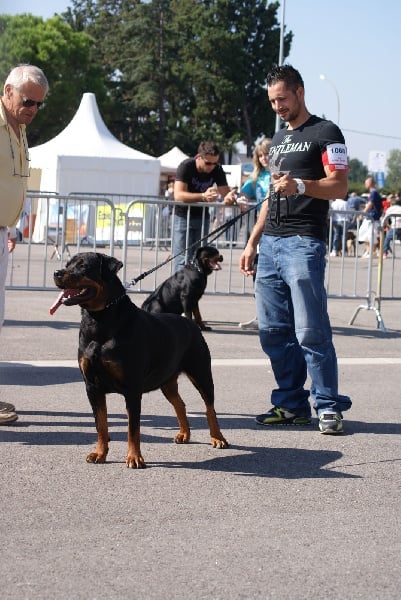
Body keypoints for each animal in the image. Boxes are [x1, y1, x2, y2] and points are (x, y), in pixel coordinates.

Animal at [49, 252, 228, 468]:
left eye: (83, 266)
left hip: (201, 372)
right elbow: (101, 425)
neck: (99, 320)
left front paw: (134, 458)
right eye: (68, 264)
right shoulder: (92, 386)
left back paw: (218, 438)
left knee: (210, 407)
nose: (57, 272)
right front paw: (99, 453)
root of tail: (190, 323)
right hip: (167, 379)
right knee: (179, 403)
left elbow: (133, 428)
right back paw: (184, 434)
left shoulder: (132, 388)